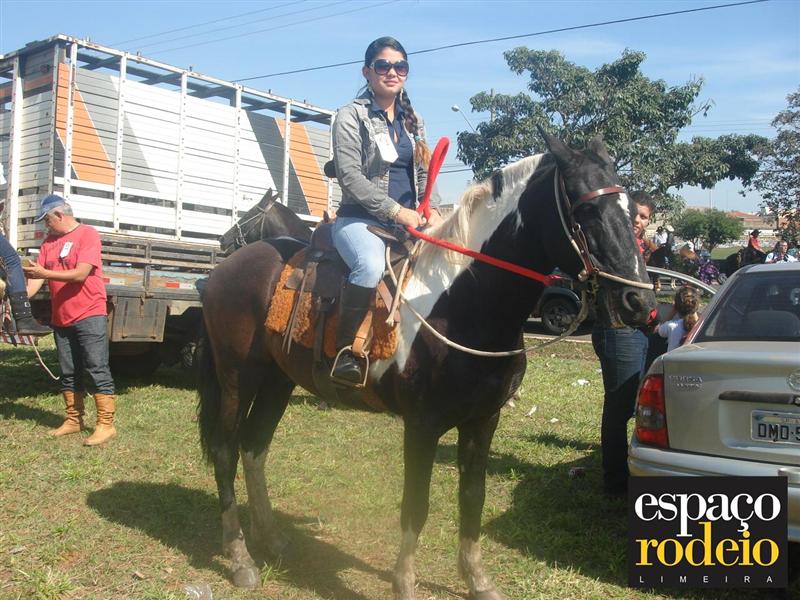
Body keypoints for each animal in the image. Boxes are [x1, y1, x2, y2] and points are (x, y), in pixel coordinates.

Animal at [196, 133, 657, 599]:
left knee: (254, 448)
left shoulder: (483, 421)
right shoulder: (422, 424)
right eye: (586, 210)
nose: (640, 301)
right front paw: (404, 583)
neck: (462, 304)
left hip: (277, 380)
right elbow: (415, 505)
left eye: (630, 212)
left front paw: (477, 580)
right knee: (225, 452)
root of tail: (224, 270)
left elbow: (472, 496)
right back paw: (240, 558)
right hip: (237, 378)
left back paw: (271, 539)